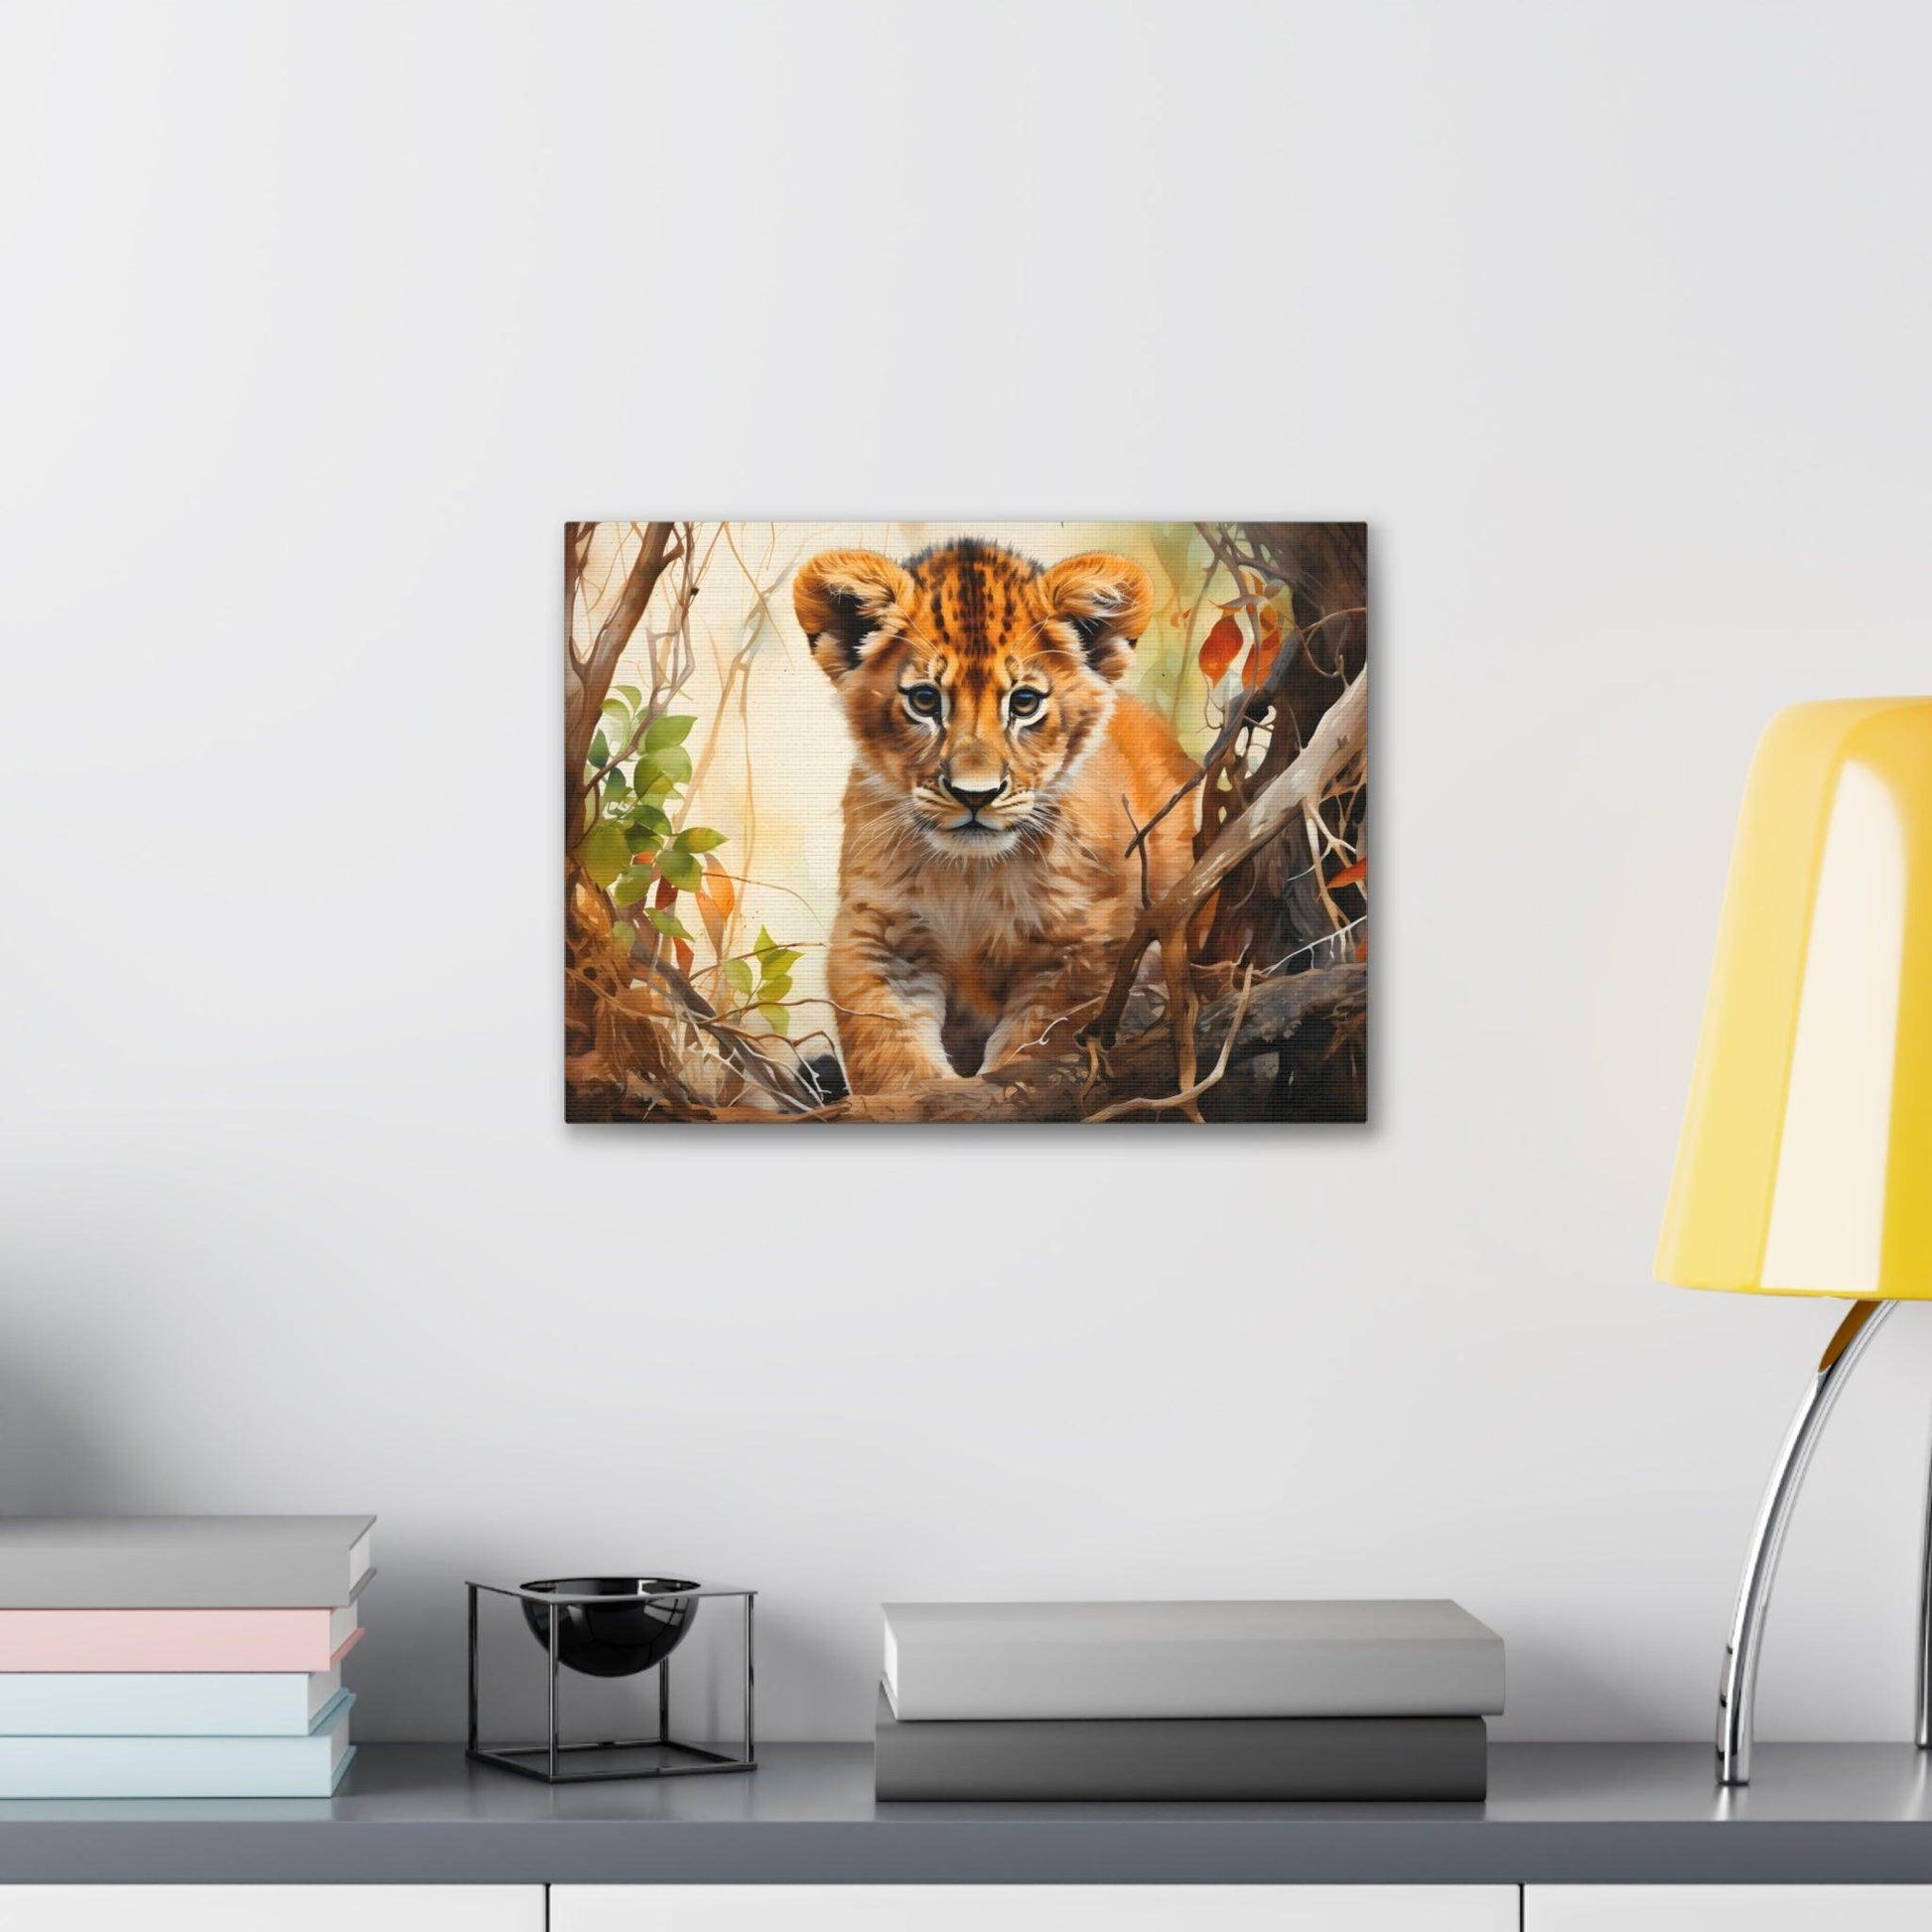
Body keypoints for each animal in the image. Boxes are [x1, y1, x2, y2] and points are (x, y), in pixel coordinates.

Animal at [793, 537, 1198, 1094]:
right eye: (925, 700)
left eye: (1024, 703)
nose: (975, 796)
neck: (971, 876)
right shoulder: (878, 937)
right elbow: (889, 1051)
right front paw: (925, 1096)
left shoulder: (1083, 945)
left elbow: (1037, 1048)